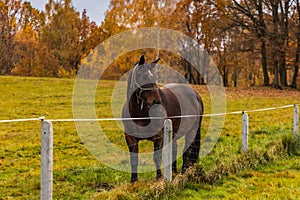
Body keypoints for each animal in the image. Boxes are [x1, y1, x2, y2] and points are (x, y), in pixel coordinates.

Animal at [122, 54, 204, 183]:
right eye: (143, 76)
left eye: (154, 77)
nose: (156, 101)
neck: (139, 114)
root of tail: (195, 94)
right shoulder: (130, 138)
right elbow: (134, 159)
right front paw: (134, 180)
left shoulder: (158, 137)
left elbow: (157, 157)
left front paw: (159, 177)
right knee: (175, 150)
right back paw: (174, 171)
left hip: (192, 131)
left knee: (188, 151)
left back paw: (183, 172)